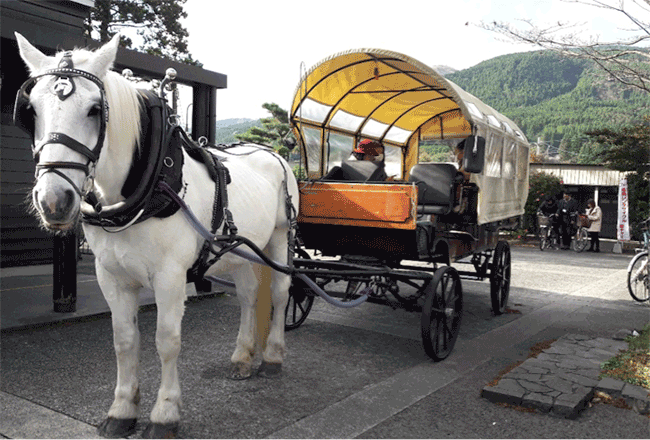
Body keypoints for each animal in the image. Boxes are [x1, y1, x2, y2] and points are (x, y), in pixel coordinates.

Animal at [15, 33, 298, 436]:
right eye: (32, 110)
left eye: (94, 110)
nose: (54, 200)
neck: (141, 190)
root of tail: (271, 154)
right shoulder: (111, 276)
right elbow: (124, 340)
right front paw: (122, 410)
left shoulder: (170, 276)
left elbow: (167, 341)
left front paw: (165, 413)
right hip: (241, 249)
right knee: (246, 296)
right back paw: (243, 357)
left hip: (279, 236)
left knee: (278, 293)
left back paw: (272, 356)